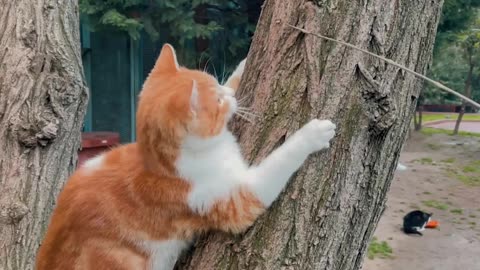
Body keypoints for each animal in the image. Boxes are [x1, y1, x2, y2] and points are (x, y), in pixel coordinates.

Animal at [35, 44, 336, 270]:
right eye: (218, 101)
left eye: (217, 85)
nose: (228, 96)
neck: (160, 163)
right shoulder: (236, 199)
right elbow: (278, 163)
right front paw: (313, 134)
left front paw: (243, 63)